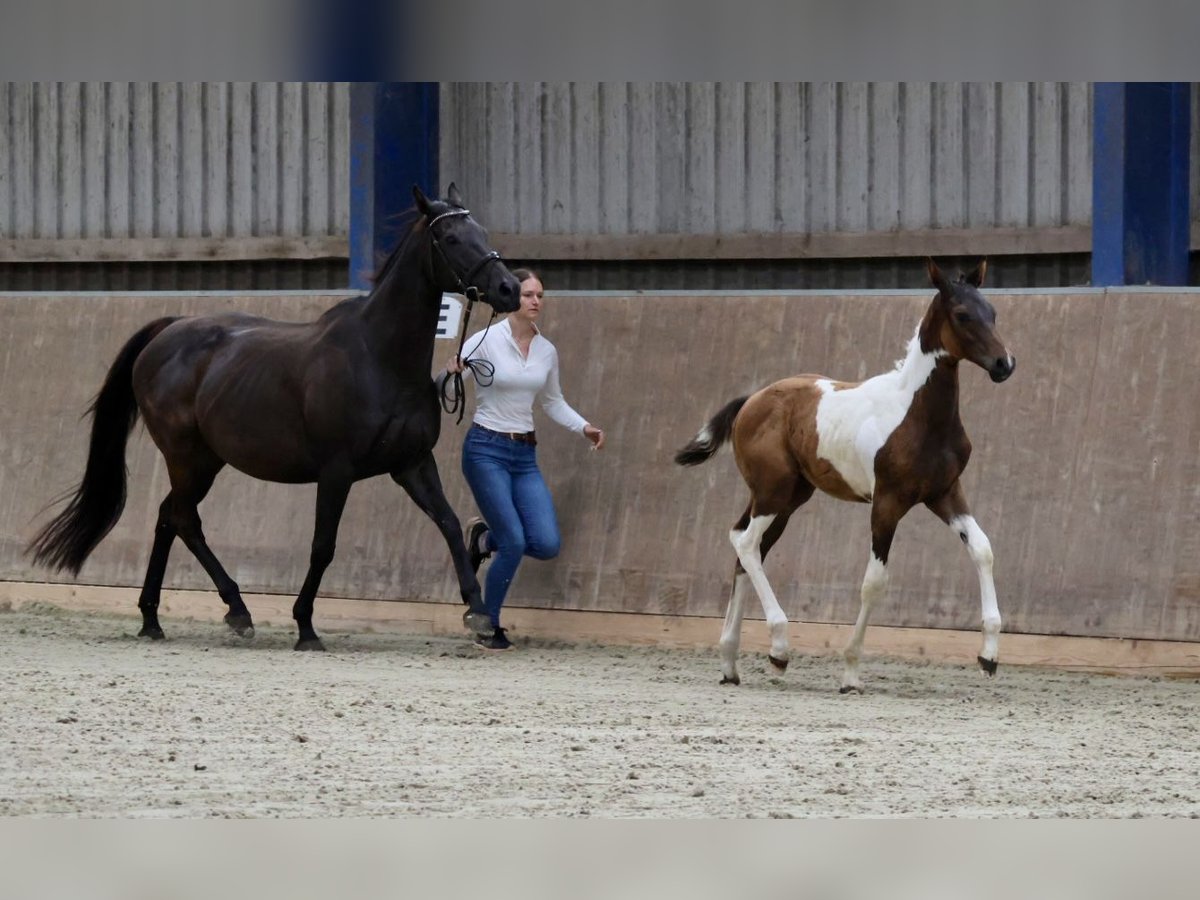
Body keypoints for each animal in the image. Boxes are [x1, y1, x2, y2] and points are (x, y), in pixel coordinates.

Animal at [29, 184, 520, 648]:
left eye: (483, 232)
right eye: (451, 238)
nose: (509, 289)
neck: (379, 358)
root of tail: (168, 330)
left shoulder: (412, 464)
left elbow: (450, 524)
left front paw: (478, 614)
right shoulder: (337, 471)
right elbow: (323, 546)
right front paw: (305, 626)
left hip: (204, 461)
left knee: (169, 516)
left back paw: (153, 619)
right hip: (189, 458)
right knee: (184, 518)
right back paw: (236, 610)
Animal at [676, 256, 1012, 696]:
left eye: (992, 312)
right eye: (962, 315)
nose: (1004, 365)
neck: (918, 415)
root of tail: (751, 400)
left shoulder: (945, 493)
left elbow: (983, 549)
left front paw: (988, 656)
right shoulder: (887, 502)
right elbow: (874, 581)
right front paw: (850, 672)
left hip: (790, 496)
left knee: (744, 546)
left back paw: (730, 662)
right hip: (774, 492)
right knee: (747, 543)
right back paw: (778, 649)